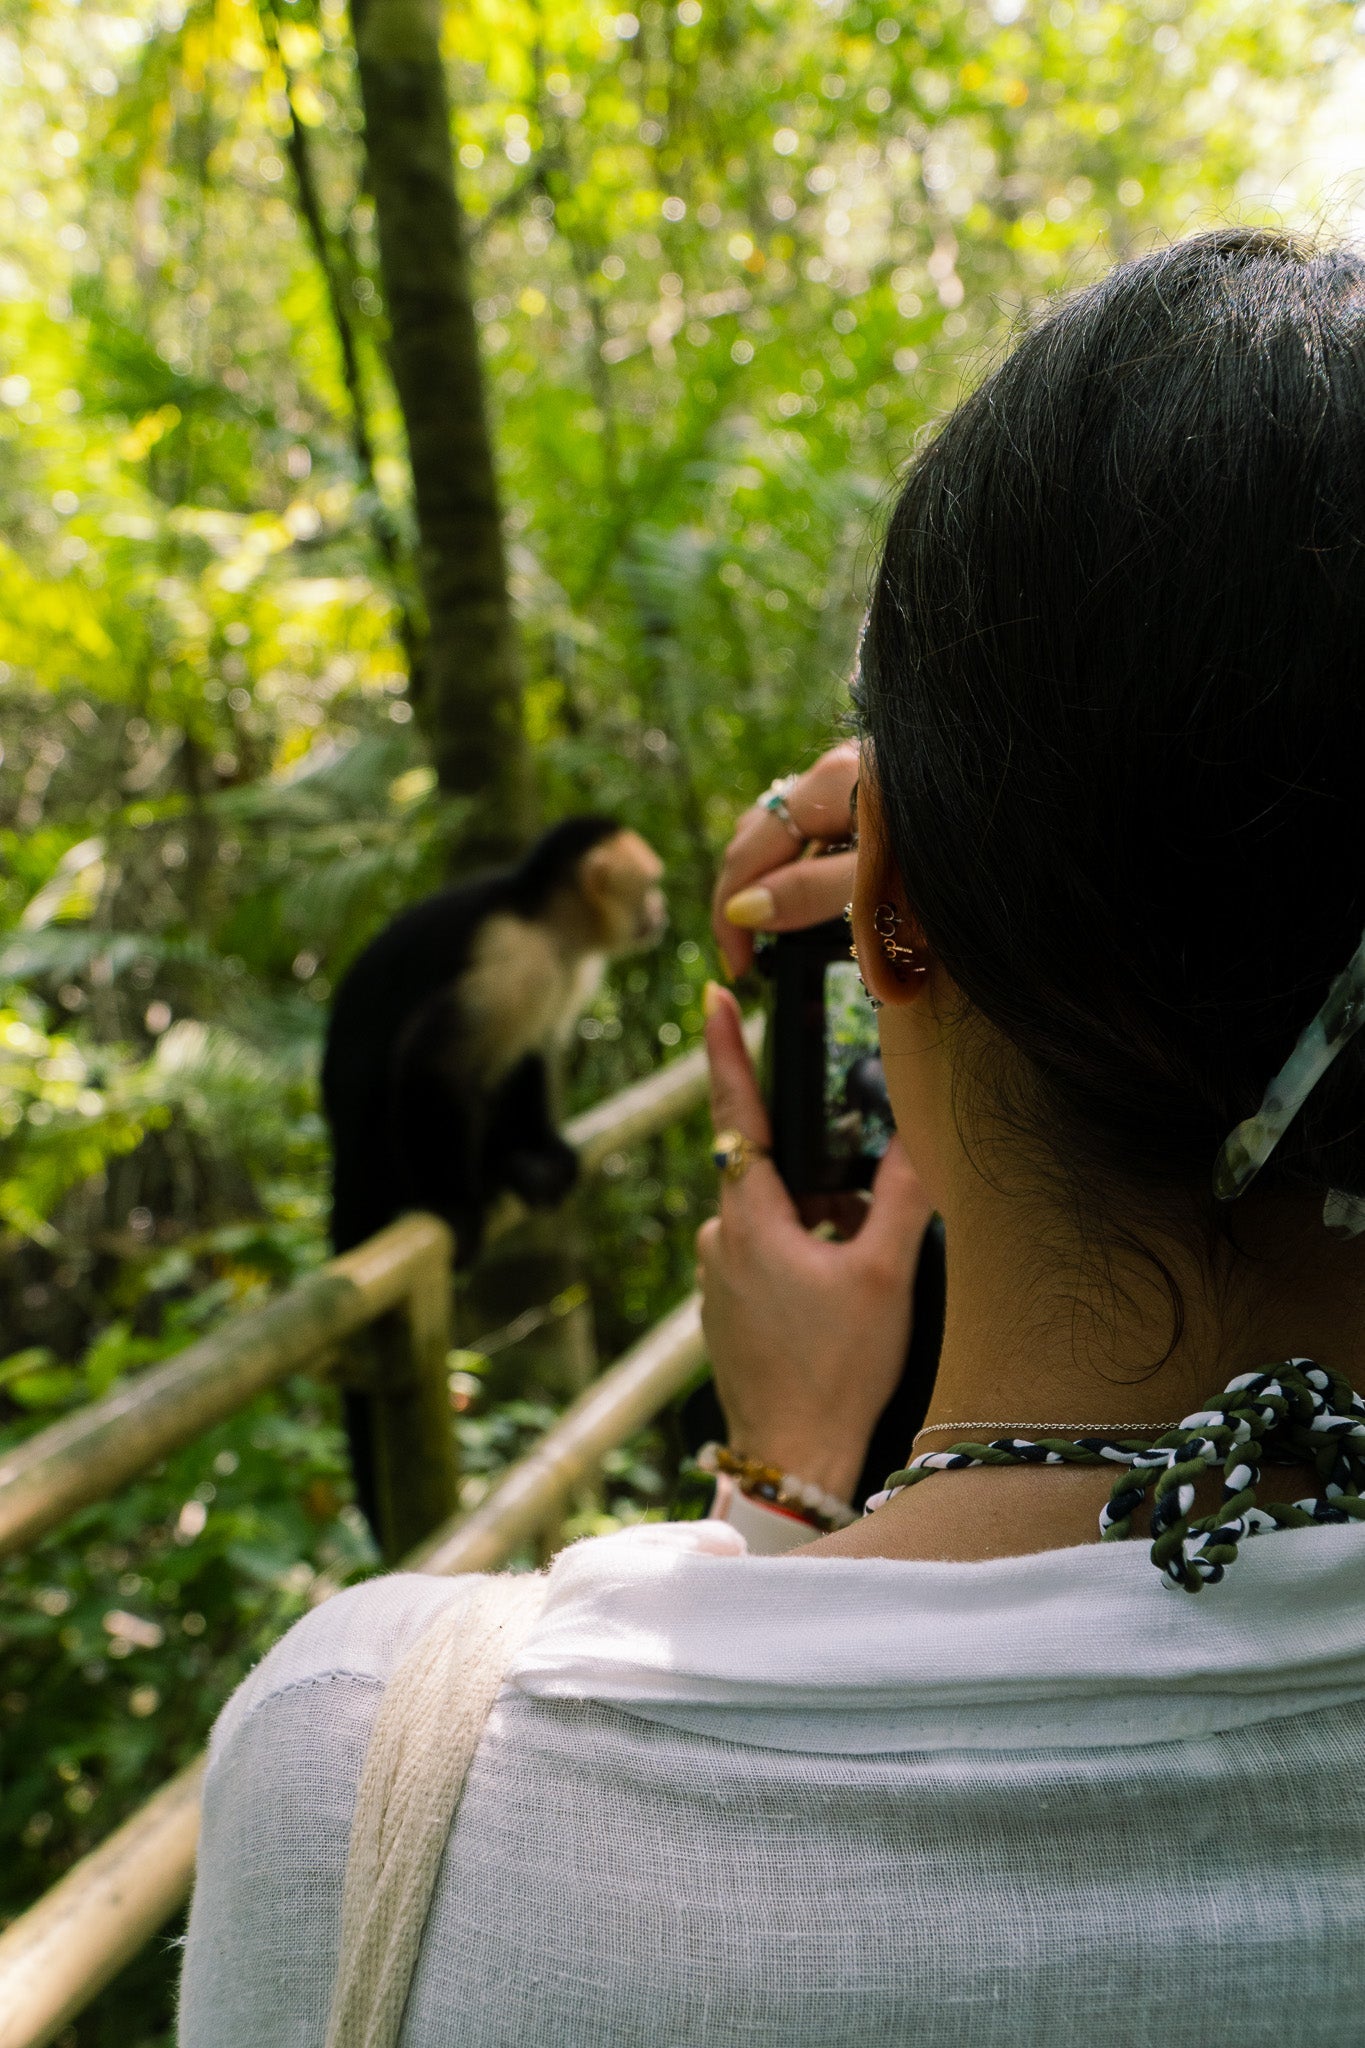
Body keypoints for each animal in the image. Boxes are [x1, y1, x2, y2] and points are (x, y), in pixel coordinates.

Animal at [321, 811, 663, 1261]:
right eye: (653, 885)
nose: (662, 910)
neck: (547, 925)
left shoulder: (566, 973)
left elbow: (535, 1048)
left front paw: (545, 1147)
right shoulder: (513, 958)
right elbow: (433, 1062)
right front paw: (454, 1203)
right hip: (380, 1158)